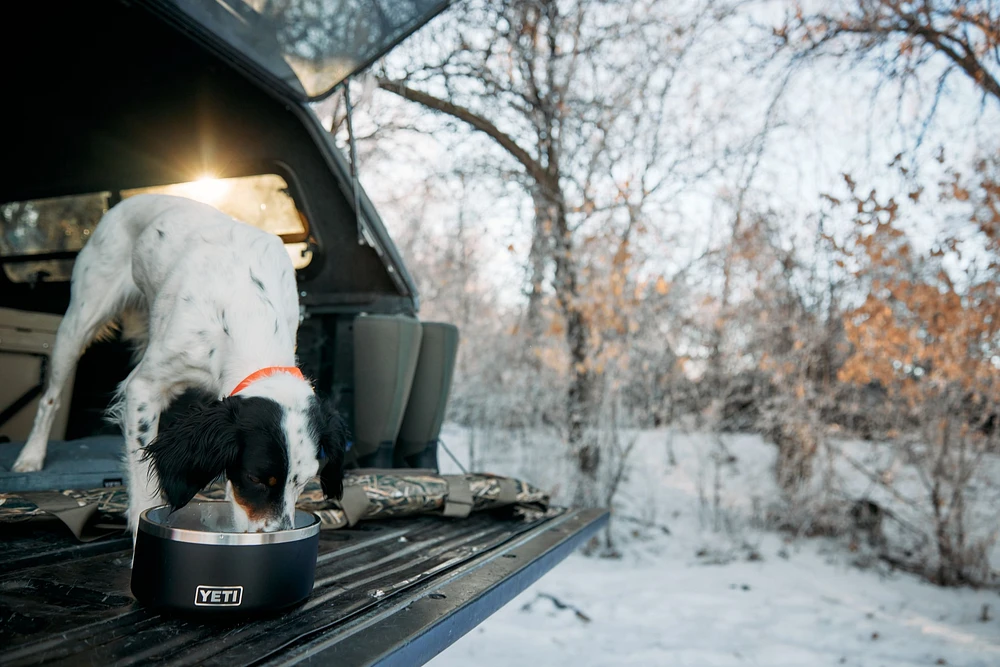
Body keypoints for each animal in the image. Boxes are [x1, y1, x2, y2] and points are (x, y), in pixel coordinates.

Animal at [9, 193, 348, 536]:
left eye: (304, 482)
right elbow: (144, 480)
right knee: (50, 398)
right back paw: (31, 456)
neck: (249, 314)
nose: (278, 536)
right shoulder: (143, 388)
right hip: (78, 322)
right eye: (255, 478)